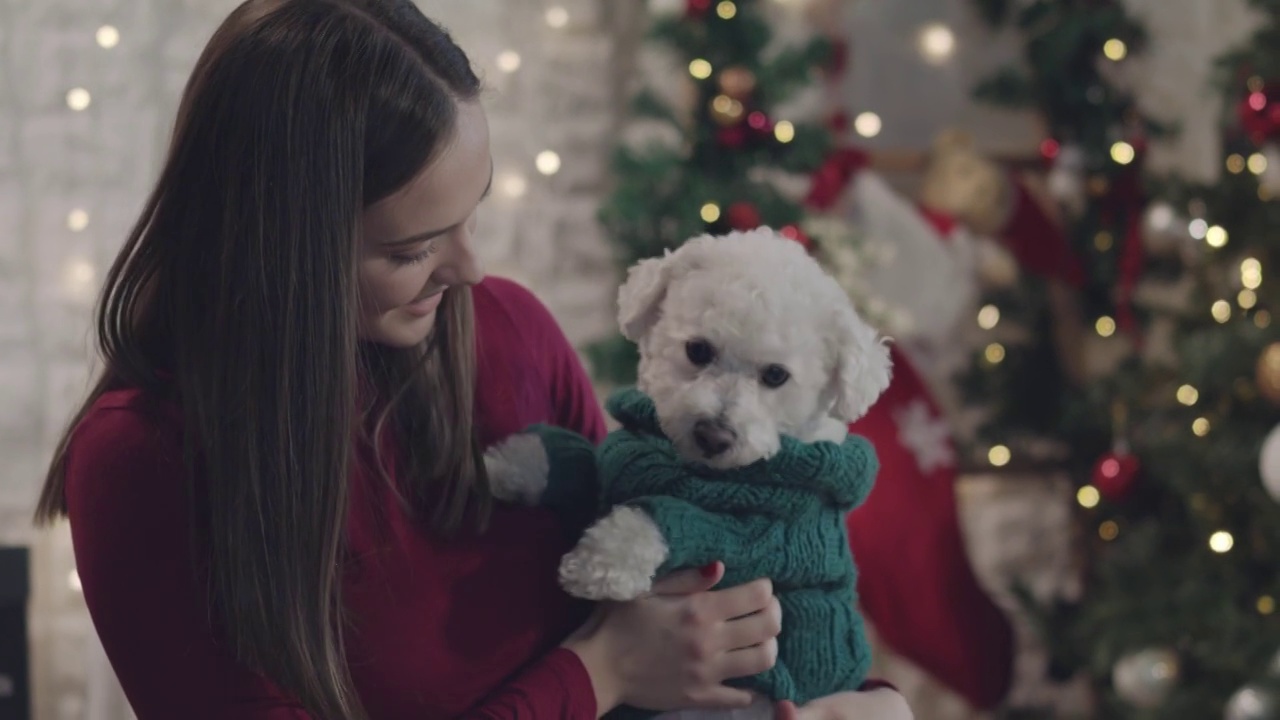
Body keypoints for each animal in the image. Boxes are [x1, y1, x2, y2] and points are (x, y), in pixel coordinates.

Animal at [483, 228, 896, 717]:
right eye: (698, 350)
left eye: (776, 375)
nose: (714, 435)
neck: (696, 469)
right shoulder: (613, 468)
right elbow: (576, 461)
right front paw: (503, 464)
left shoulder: (754, 543)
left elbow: (664, 519)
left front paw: (600, 562)